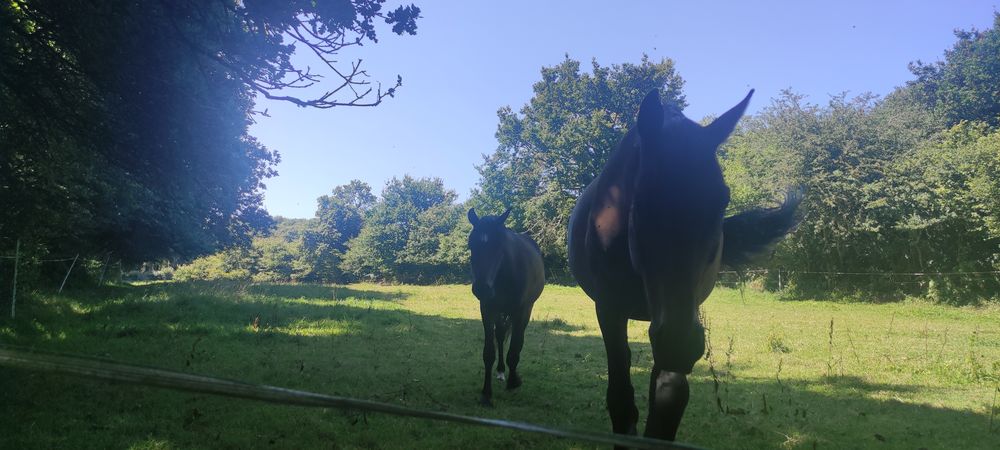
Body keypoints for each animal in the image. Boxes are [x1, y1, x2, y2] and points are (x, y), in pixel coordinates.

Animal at [467, 208, 545, 406]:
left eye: (499, 246)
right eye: (471, 245)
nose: (482, 288)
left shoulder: (521, 311)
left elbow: (515, 348)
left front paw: (513, 381)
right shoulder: (488, 309)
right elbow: (489, 352)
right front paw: (486, 393)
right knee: (501, 335)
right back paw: (501, 371)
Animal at [567, 89, 801, 441]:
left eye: (723, 199)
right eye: (640, 202)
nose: (680, 345)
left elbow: (669, 398)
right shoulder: (609, 309)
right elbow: (621, 399)